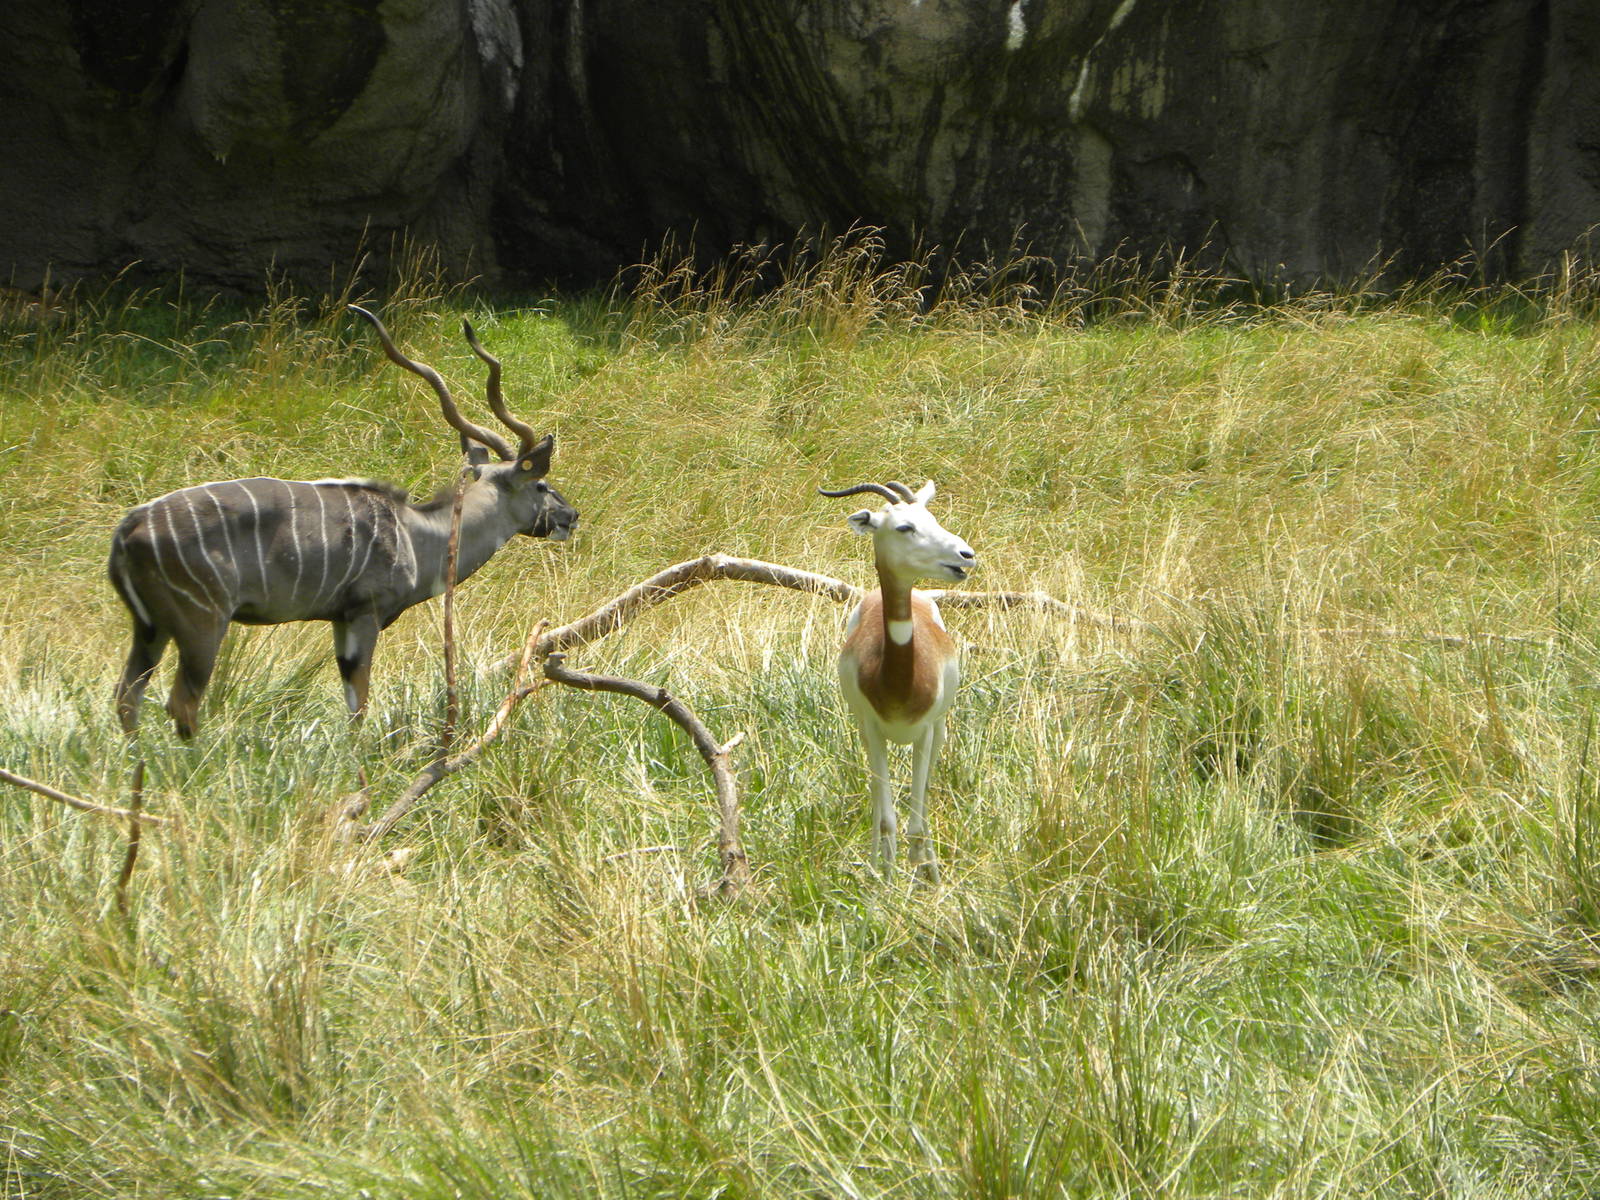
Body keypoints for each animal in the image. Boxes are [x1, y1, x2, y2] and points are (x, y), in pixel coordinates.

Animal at [108, 304, 578, 738]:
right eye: (540, 485)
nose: (571, 516)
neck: (418, 533)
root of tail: (130, 529)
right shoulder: (363, 613)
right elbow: (359, 704)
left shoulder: (337, 620)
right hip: (202, 623)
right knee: (181, 703)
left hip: (149, 628)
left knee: (127, 697)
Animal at [821, 479, 975, 882]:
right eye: (905, 527)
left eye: (933, 519)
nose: (965, 555)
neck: (899, 684)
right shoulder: (874, 731)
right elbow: (888, 819)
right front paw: (885, 884)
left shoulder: (925, 732)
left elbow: (917, 822)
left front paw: (925, 881)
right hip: (865, 732)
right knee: (879, 805)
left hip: (940, 730)